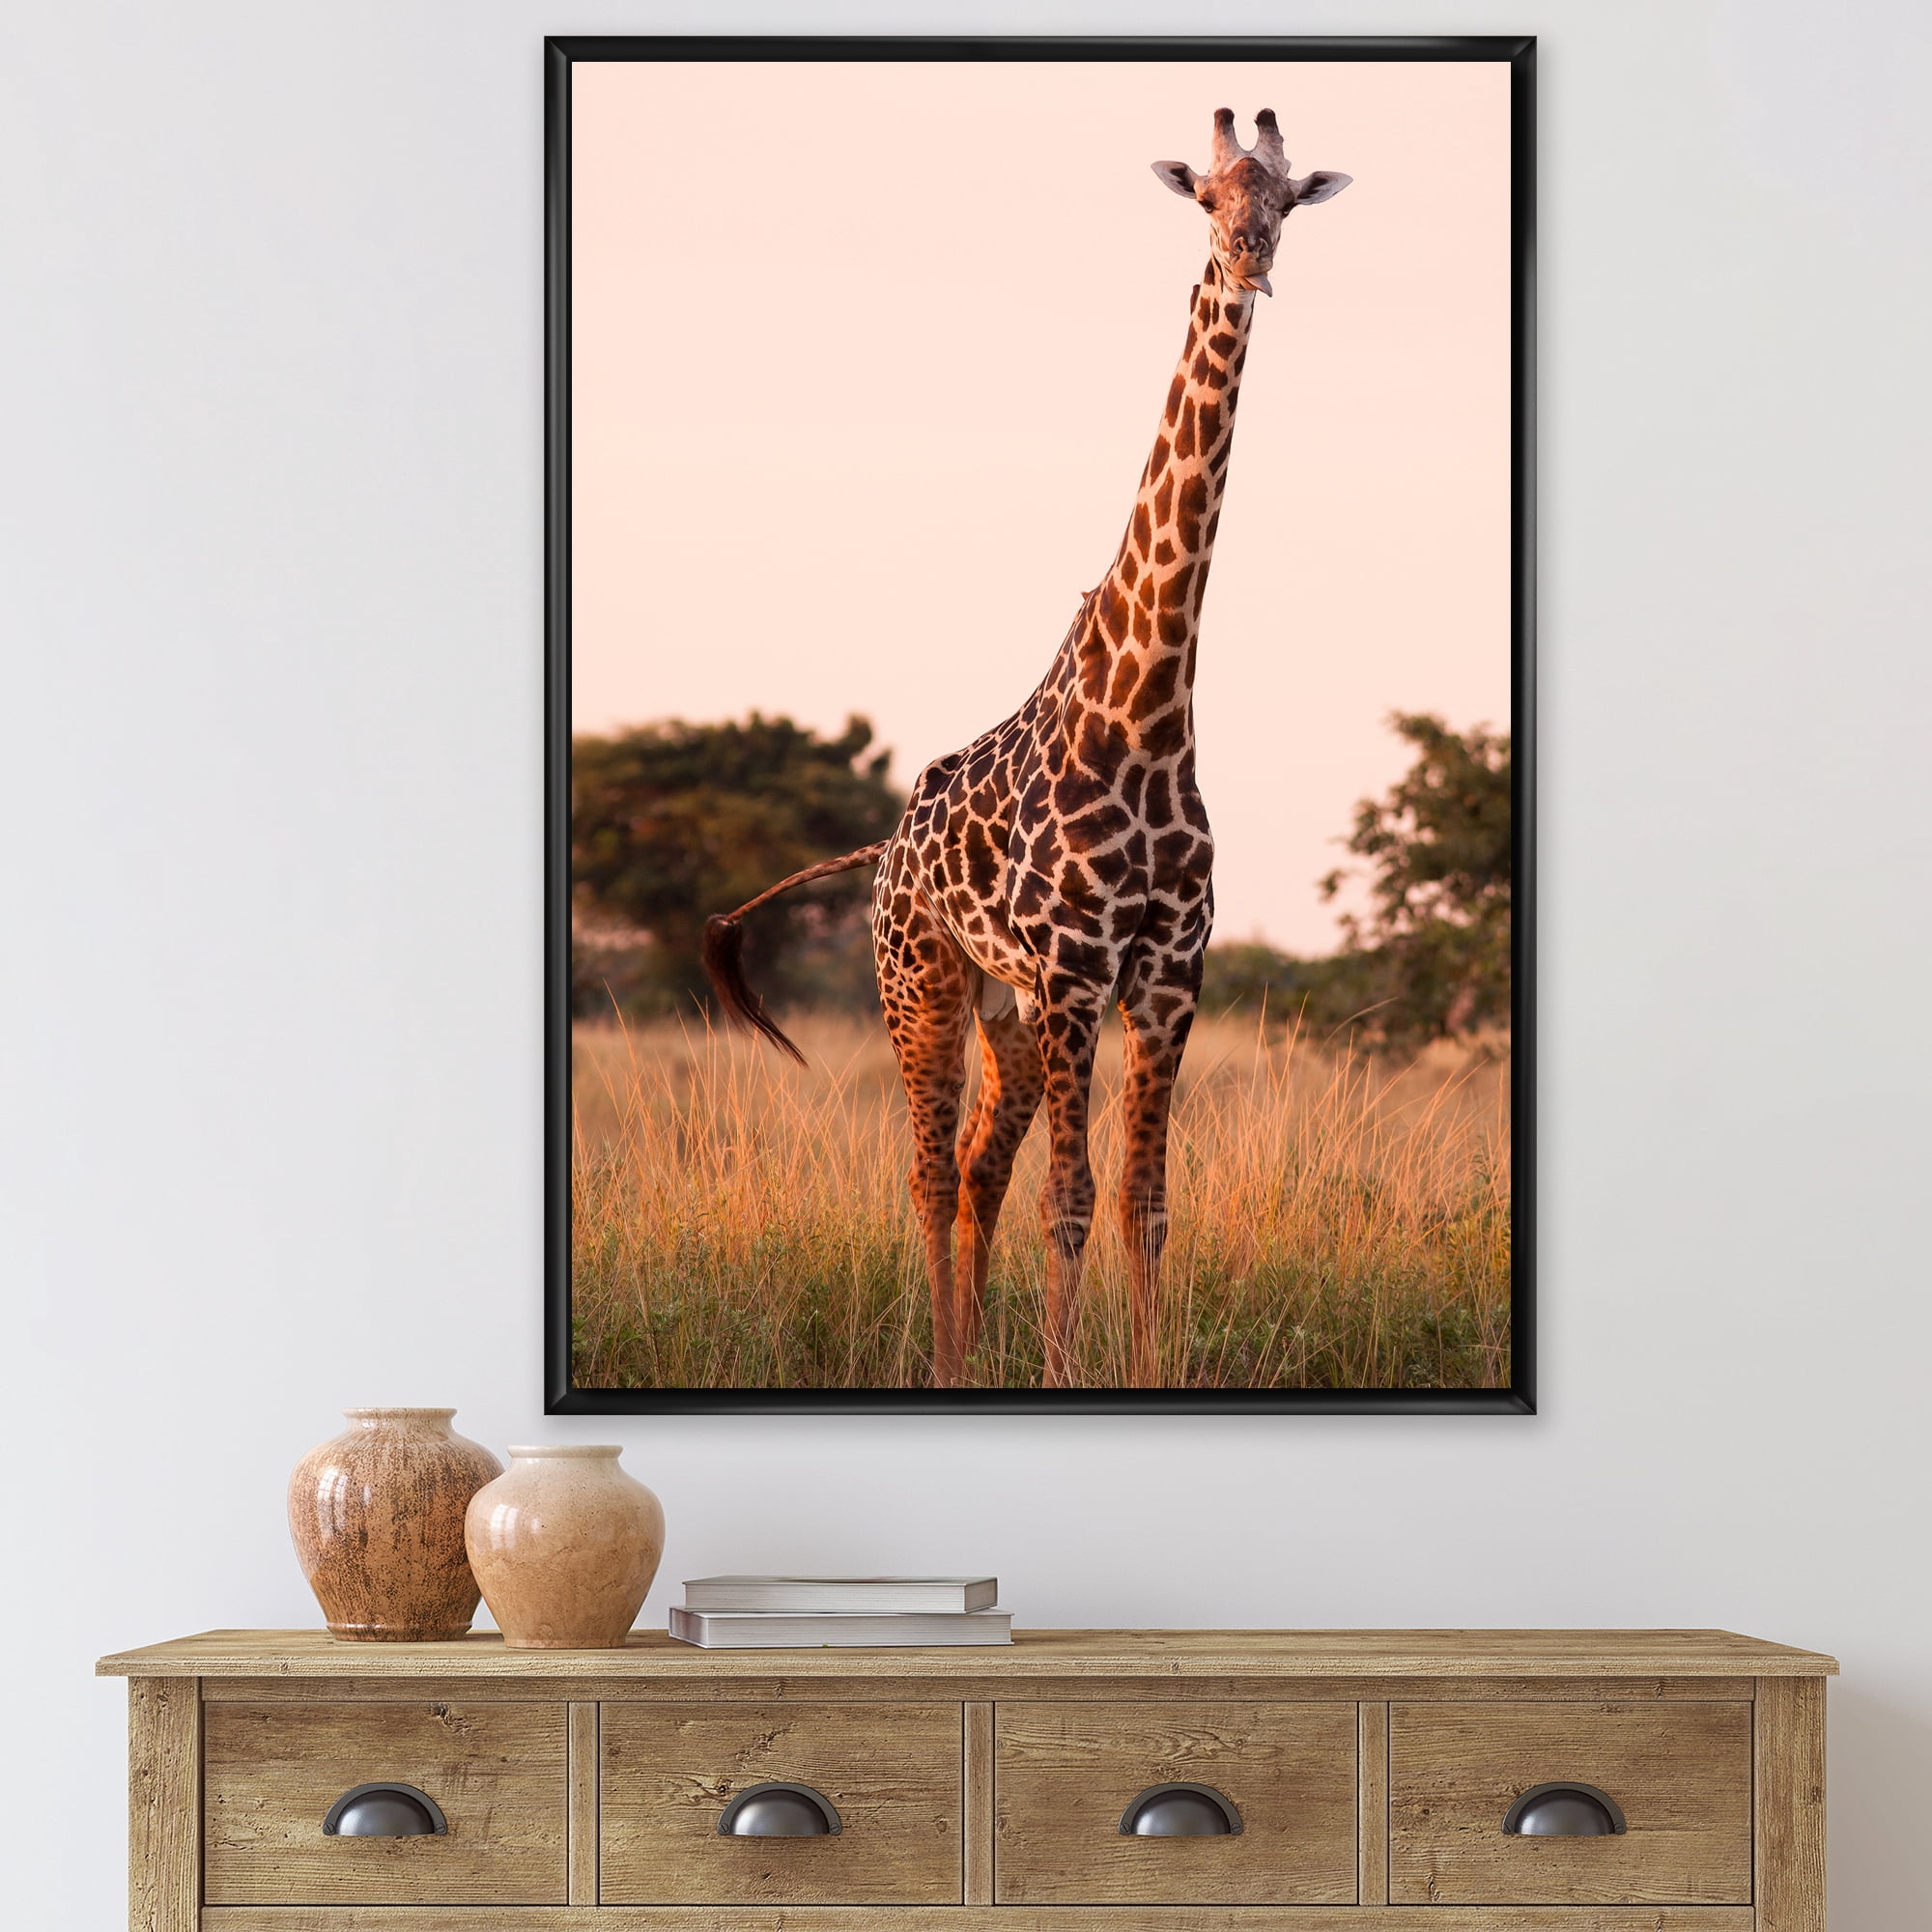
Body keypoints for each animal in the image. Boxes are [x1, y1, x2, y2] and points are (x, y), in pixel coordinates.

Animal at [703, 110, 1350, 1389]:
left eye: (1285, 201)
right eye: (1207, 198)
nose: (1249, 262)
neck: (1146, 715)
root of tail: (882, 852)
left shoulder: (1164, 973)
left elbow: (1144, 1200)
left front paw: (1140, 1367)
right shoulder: (1073, 972)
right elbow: (1074, 1196)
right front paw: (1058, 1371)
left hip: (1001, 1011)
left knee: (972, 1169)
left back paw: (965, 1353)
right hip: (922, 982)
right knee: (924, 1170)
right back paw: (948, 1363)